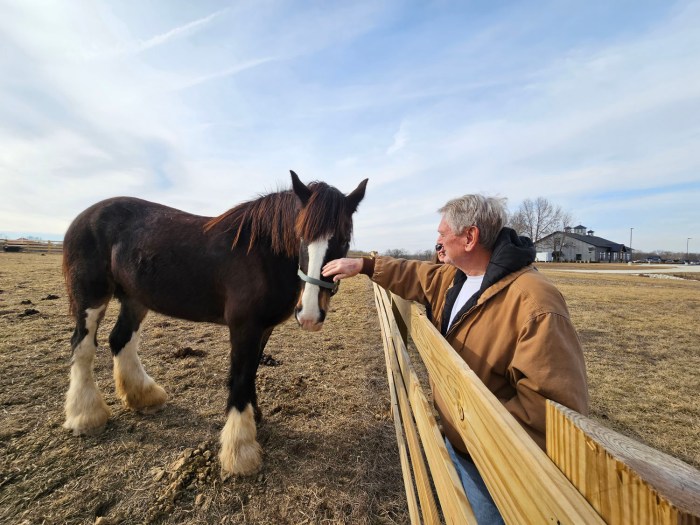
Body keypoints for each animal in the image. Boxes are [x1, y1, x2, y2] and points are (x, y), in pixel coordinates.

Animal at [61, 170, 367, 476]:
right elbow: (240, 377)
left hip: (135, 299)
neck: (261, 254)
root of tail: (83, 217)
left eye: (343, 240)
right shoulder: (244, 326)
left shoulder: (263, 328)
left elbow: (252, 371)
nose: (310, 315)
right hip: (91, 298)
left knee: (120, 340)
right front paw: (241, 449)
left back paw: (143, 396)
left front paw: (255, 418)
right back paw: (86, 416)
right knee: (83, 346)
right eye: (301, 235)